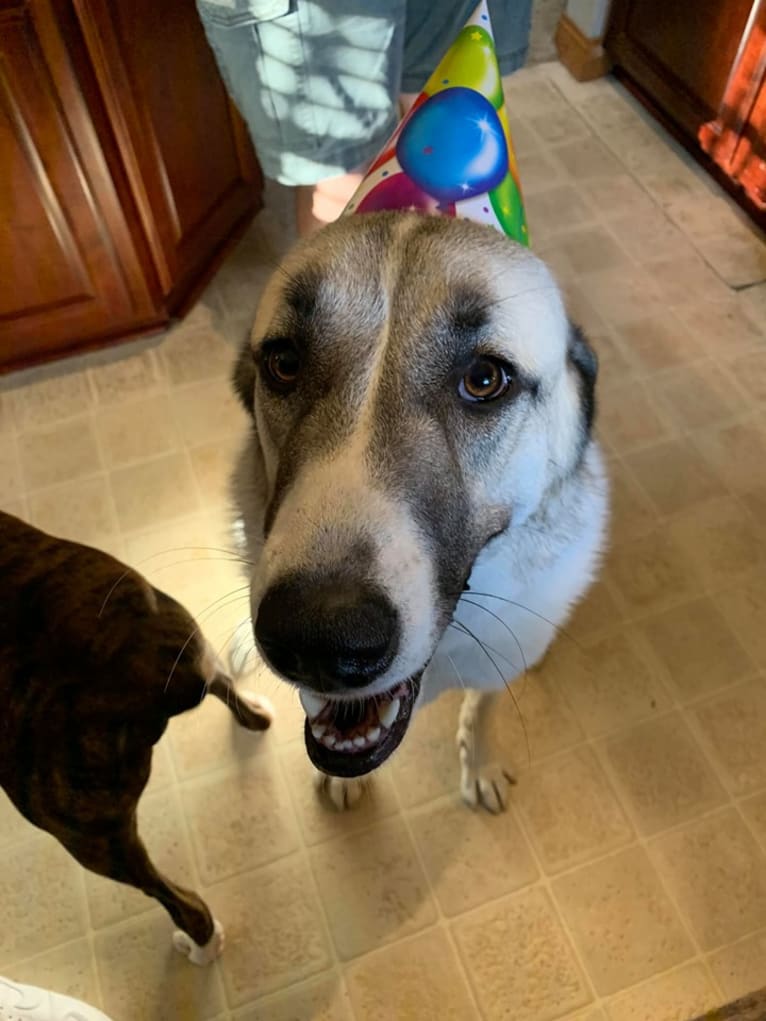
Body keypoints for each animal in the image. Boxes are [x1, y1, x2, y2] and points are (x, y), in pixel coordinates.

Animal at [0, 510, 273, 963]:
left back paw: (199, 947)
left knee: (178, 901)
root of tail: (121, 674)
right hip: (183, 631)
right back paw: (257, 713)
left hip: (91, 841)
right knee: (223, 683)